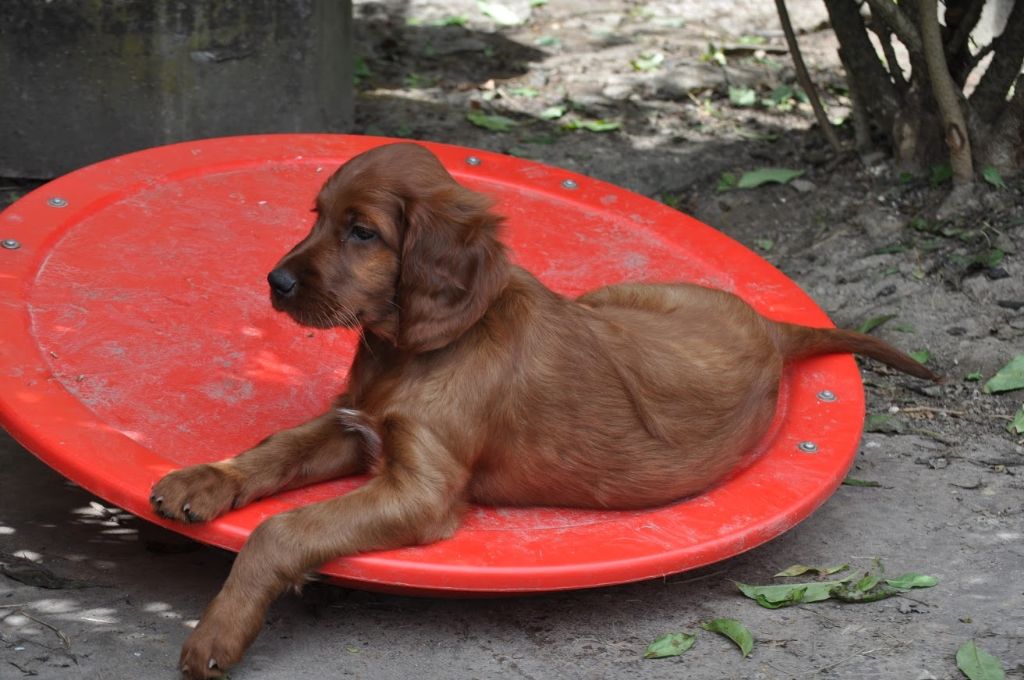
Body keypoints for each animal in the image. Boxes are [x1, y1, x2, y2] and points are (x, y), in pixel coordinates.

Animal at [148, 140, 937, 675]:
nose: (275, 282)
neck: (413, 351)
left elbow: (285, 529)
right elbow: (273, 450)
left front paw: (217, 632)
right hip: (605, 299)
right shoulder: (356, 423)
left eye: (362, 231)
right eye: (315, 216)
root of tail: (771, 328)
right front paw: (198, 482)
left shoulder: (421, 490)